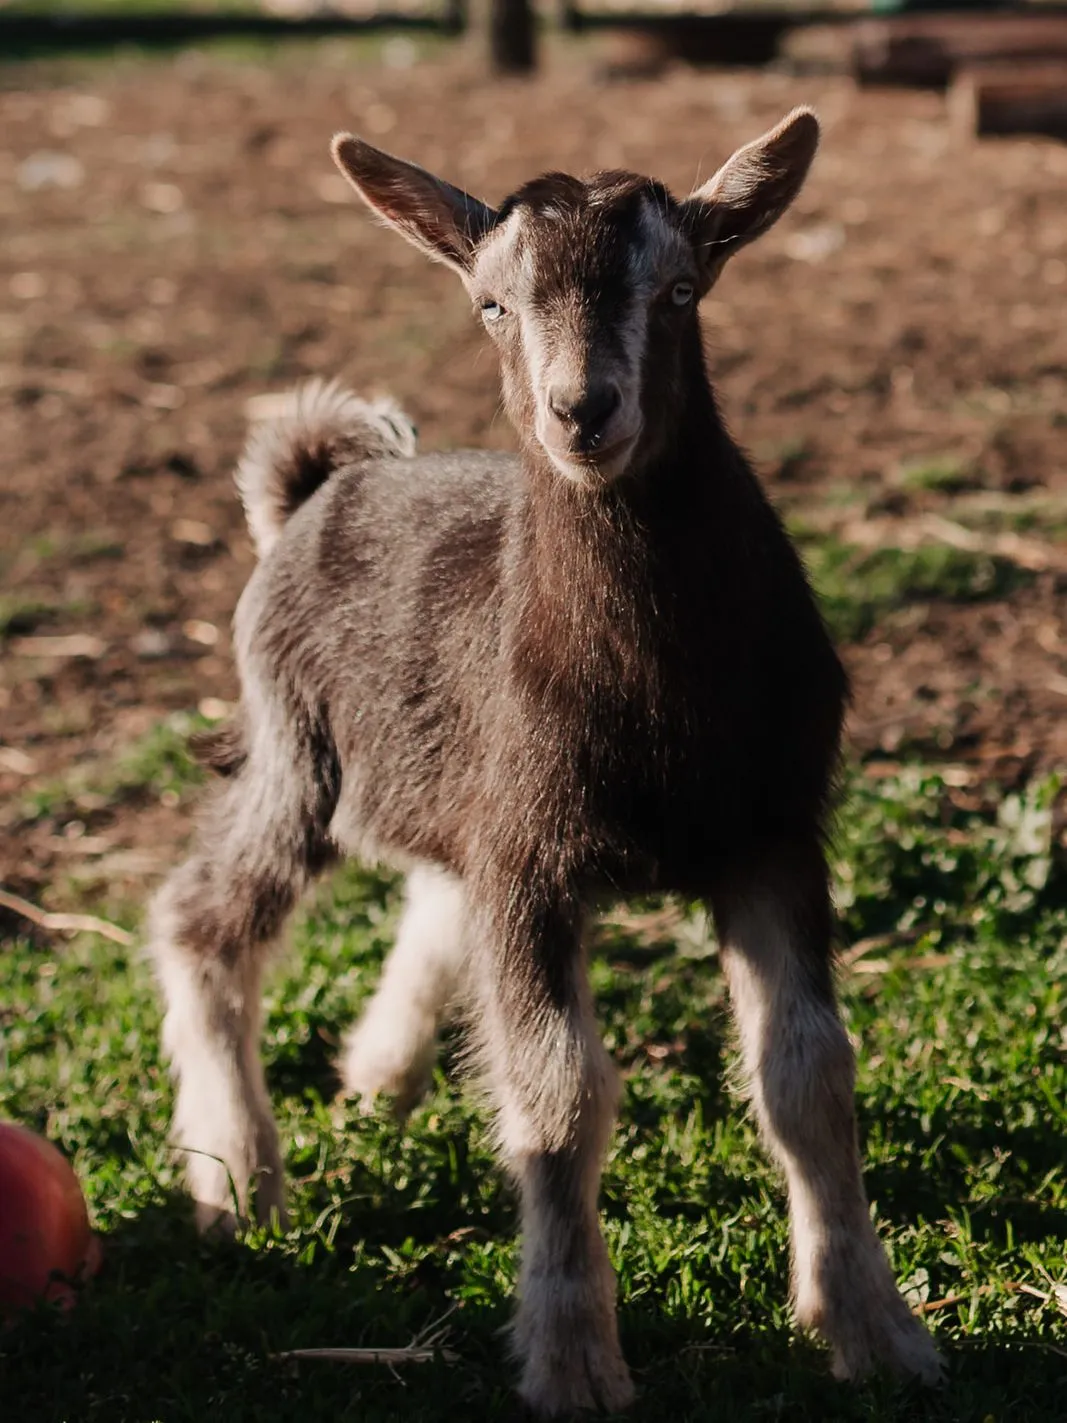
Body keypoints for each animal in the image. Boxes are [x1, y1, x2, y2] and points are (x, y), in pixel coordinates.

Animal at [148, 109, 942, 1415]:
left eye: (679, 288)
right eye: (489, 304)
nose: (584, 410)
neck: (654, 698)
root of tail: (317, 486)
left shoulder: (770, 833)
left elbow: (806, 1077)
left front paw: (873, 1330)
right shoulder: (531, 862)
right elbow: (559, 1097)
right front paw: (573, 1354)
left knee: (429, 893)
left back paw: (377, 1071)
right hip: (295, 751)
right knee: (203, 915)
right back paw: (237, 1177)